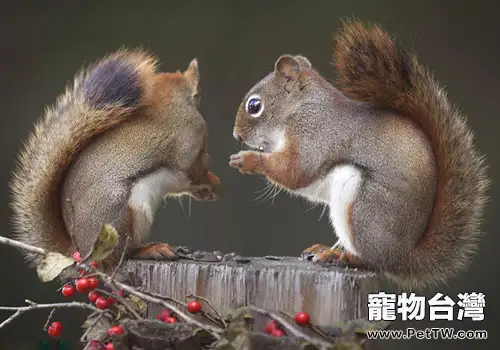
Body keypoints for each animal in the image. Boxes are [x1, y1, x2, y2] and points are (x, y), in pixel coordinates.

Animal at [9, 48, 220, 268]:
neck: (172, 100)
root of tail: (79, 251)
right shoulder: (188, 146)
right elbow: (194, 170)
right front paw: (213, 182)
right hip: (121, 215)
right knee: (120, 256)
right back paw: (151, 249)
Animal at [229, 19, 490, 290]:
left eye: (255, 106)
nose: (236, 136)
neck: (300, 108)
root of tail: (402, 256)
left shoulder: (314, 134)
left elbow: (296, 170)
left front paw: (247, 160)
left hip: (363, 207)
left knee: (370, 260)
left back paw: (341, 256)